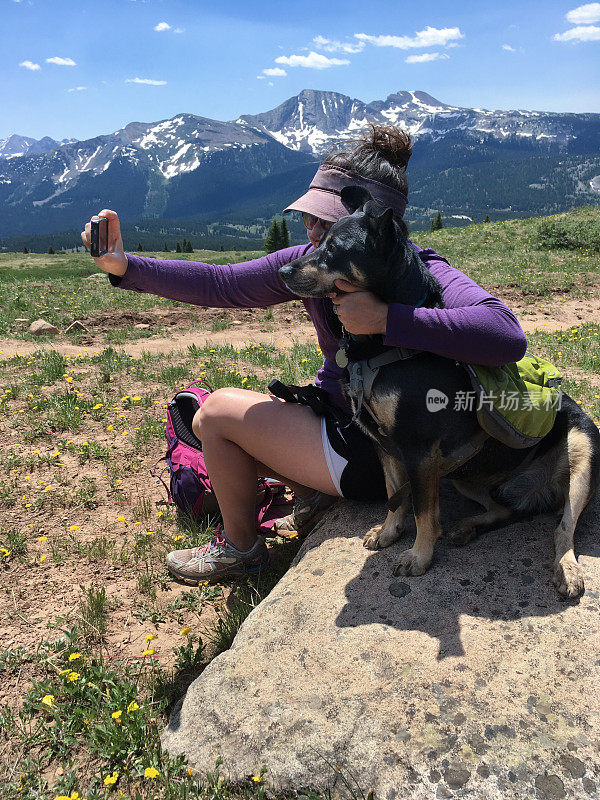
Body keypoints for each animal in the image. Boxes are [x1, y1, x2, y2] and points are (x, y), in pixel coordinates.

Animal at [282, 186, 600, 600]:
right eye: (319, 242)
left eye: (334, 248)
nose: (282, 271)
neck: (379, 345)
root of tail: (536, 492)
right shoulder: (387, 445)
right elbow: (395, 494)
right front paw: (389, 532)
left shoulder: (420, 449)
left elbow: (422, 510)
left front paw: (419, 556)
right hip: (466, 473)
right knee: (507, 511)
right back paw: (468, 527)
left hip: (583, 453)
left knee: (564, 528)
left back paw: (568, 569)